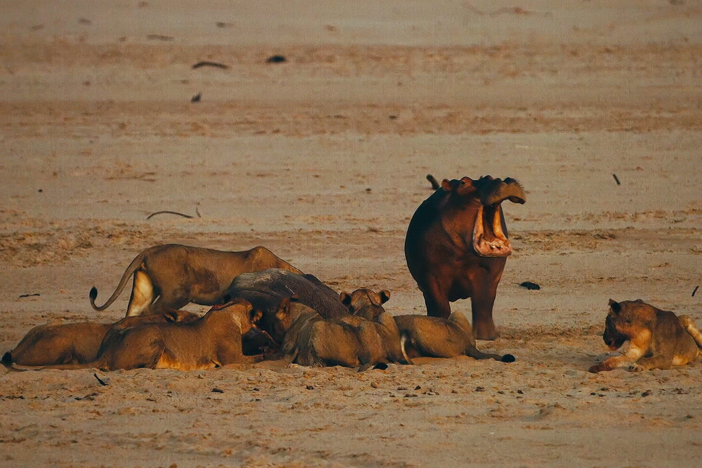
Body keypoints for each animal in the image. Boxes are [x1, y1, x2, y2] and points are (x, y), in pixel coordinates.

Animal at [35, 298, 264, 372]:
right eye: (252, 309)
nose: (261, 313)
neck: (229, 312)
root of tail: (107, 351)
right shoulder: (232, 358)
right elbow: (261, 357)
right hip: (155, 339)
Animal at [404, 176, 524, 340]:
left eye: (490, 177)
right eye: (463, 182)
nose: (503, 180)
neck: (462, 253)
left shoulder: (488, 272)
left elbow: (483, 303)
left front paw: (487, 336)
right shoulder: (431, 276)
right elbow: (440, 306)